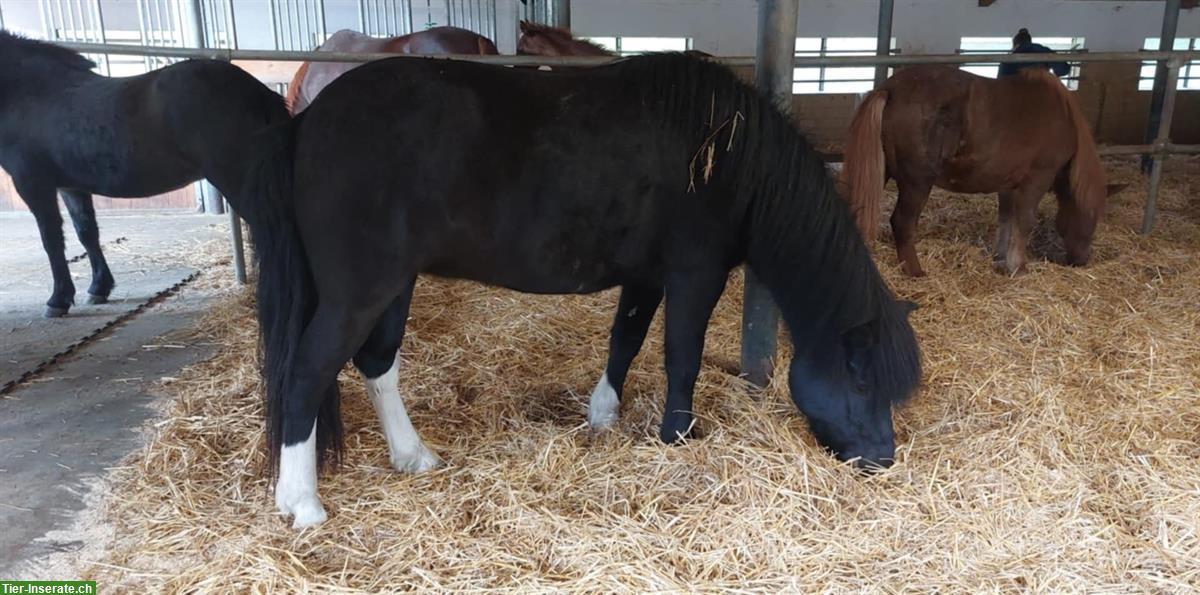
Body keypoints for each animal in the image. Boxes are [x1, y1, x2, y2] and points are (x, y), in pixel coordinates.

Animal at [0, 31, 288, 319]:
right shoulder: (71, 187)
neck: (31, 93)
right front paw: (99, 288)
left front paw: (58, 299)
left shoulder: (33, 184)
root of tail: (258, 91)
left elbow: (51, 241)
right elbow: (86, 232)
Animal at [241, 50, 916, 525]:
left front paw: (603, 415)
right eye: (861, 379)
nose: (883, 460)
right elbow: (682, 357)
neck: (727, 152)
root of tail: (307, 123)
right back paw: (302, 502)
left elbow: (627, 341)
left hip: (391, 286)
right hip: (359, 292)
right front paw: (676, 436)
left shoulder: (647, 276)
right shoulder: (695, 274)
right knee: (306, 372)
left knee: (377, 363)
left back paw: (412, 457)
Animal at [844, 65, 1104, 277]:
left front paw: (1001, 258)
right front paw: (1019, 267)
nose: (1081, 260)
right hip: (917, 184)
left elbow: (1006, 219)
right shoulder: (1036, 180)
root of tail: (890, 88)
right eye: (1093, 217)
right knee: (902, 222)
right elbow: (1025, 221)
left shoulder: (1008, 185)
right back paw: (915, 271)